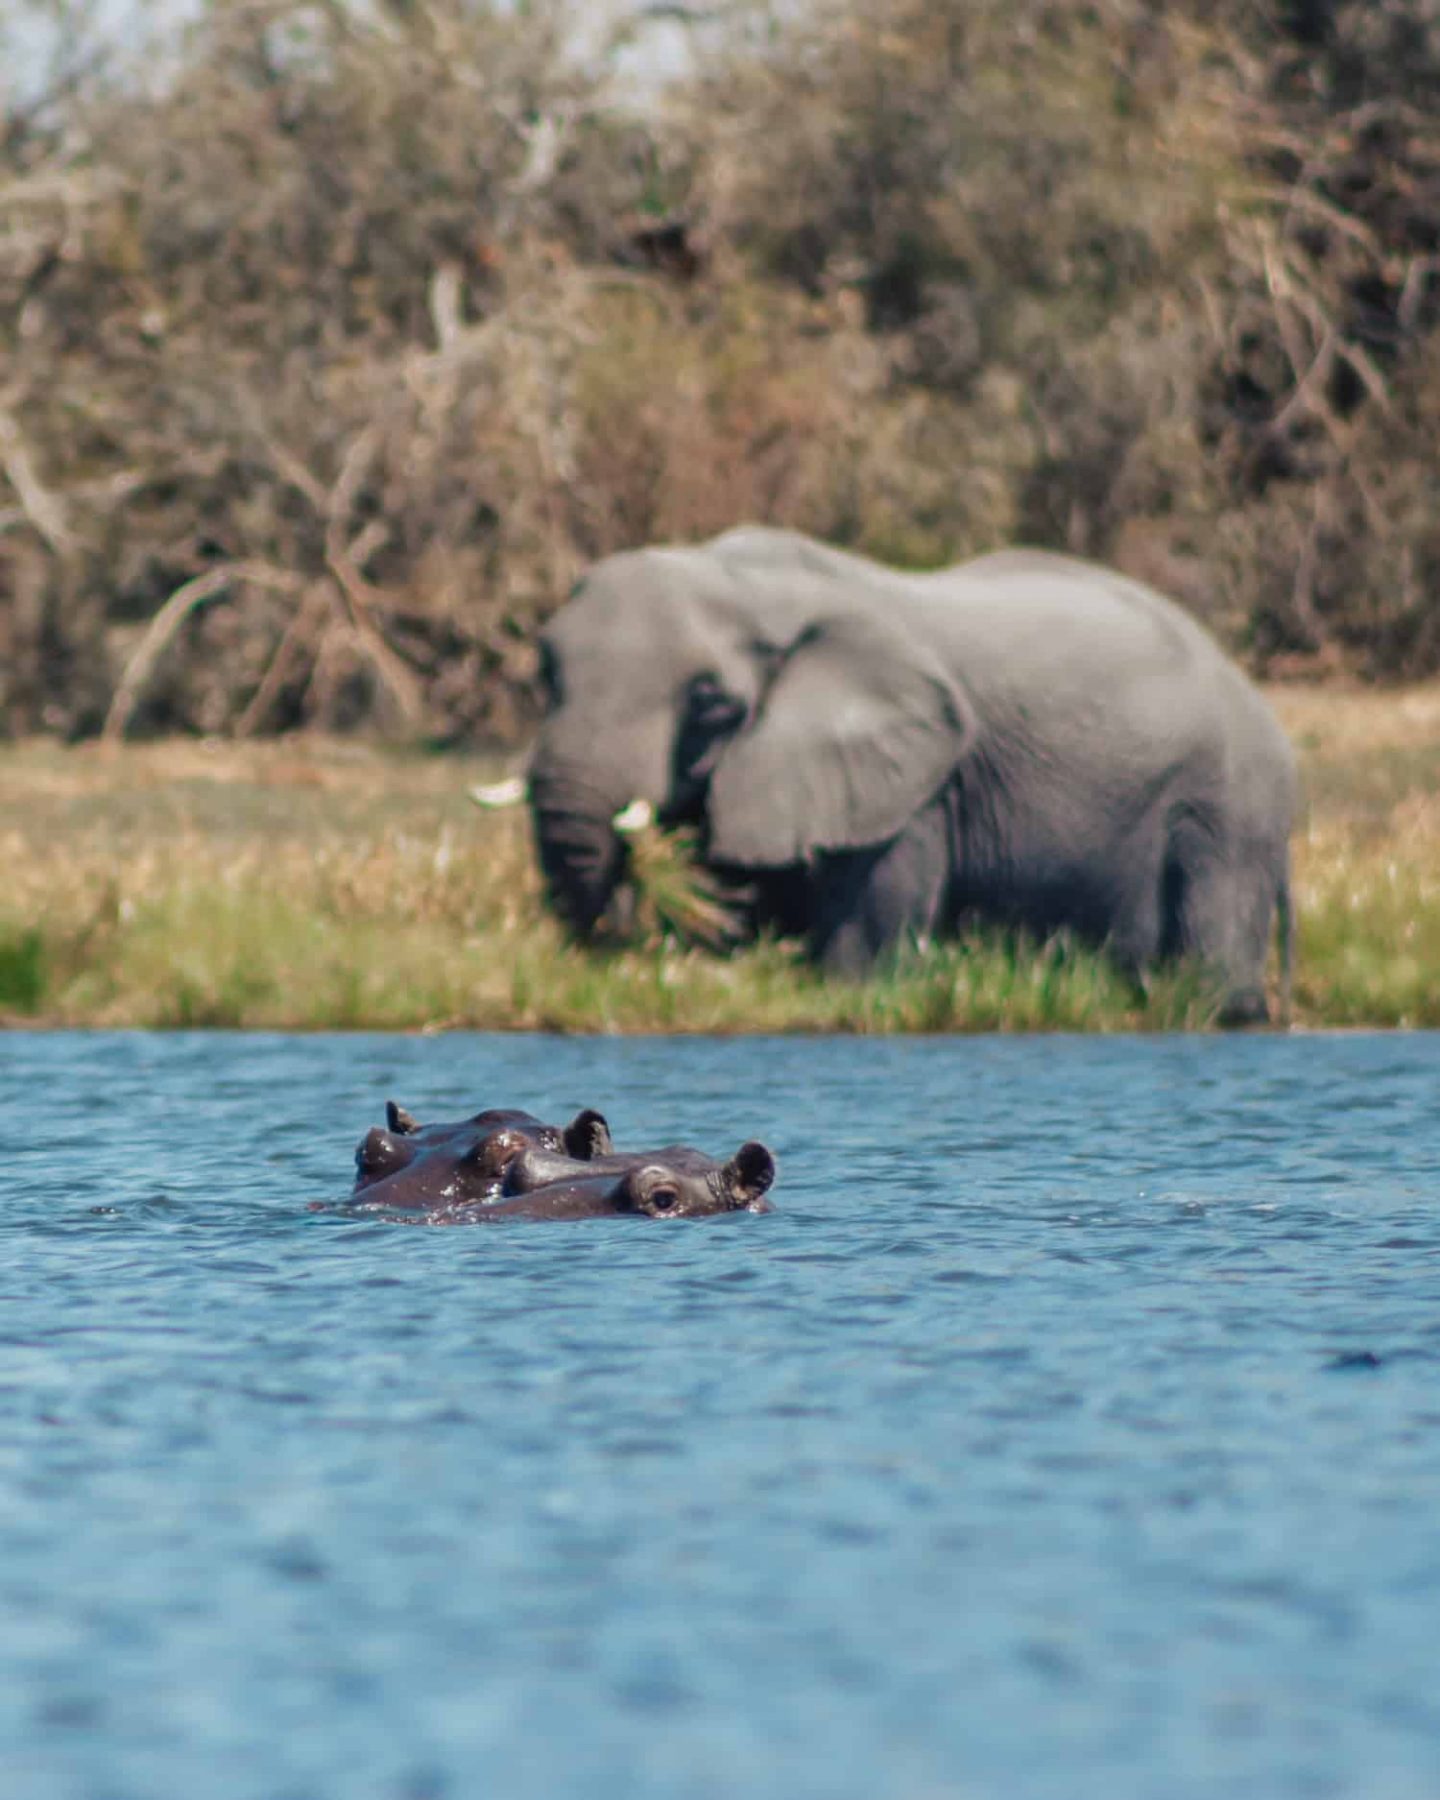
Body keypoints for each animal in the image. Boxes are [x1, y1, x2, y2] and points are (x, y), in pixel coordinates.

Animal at [489, 525, 1296, 1022]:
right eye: (547, 670)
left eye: (710, 700)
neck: (748, 581)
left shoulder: (912, 785)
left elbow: (871, 934)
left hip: (1227, 801)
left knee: (1215, 938)